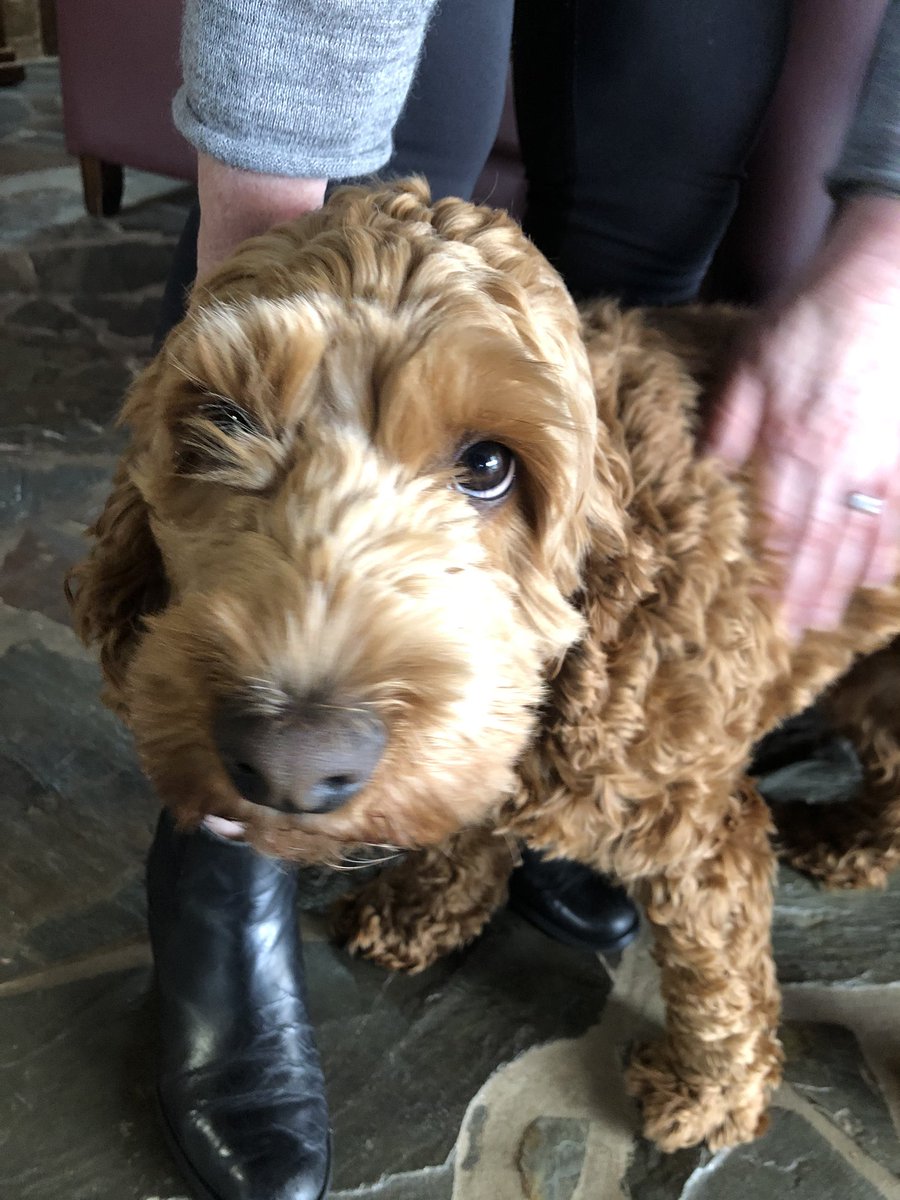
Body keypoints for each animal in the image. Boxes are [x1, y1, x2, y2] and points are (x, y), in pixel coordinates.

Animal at [66, 177, 900, 1152]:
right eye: (222, 422)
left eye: (490, 465)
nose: (292, 762)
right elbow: (470, 819)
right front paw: (423, 907)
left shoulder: (700, 828)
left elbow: (715, 966)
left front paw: (709, 1091)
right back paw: (847, 839)